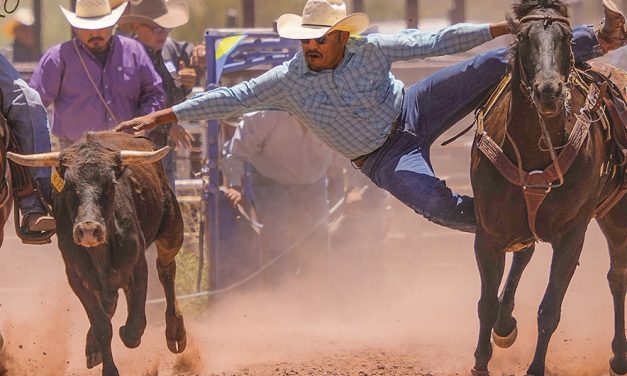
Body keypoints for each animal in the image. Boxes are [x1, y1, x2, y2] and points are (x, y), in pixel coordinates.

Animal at [472, 0, 627, 376]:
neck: (533, 150)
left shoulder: (572, 236)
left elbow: (550, 309)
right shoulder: (488, 233)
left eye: (567, 37)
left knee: (617, 276)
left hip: (617, 215)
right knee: (523, 253)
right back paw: (505, 325)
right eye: (522, 37)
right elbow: (486, 303)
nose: (548, 91)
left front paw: (535, 368)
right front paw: (481, 362)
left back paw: (619, 356)